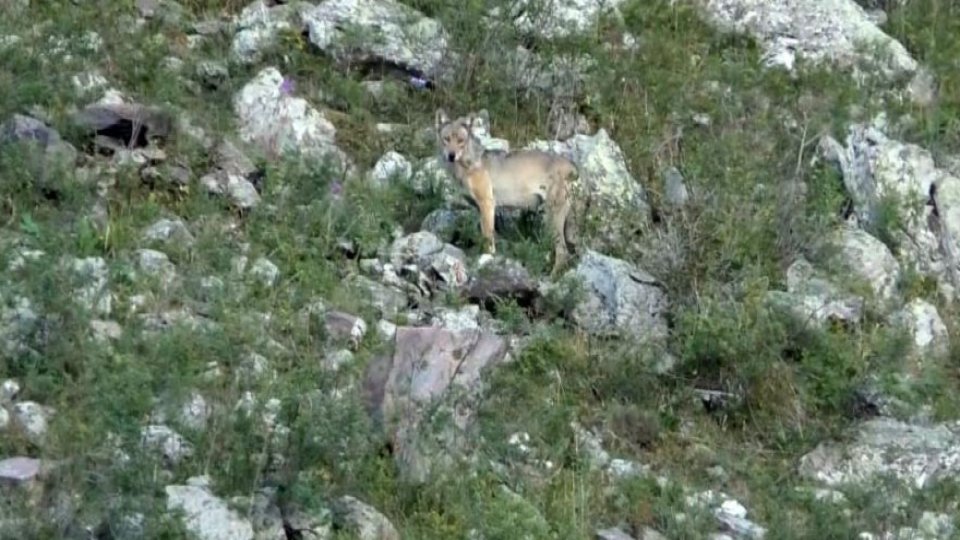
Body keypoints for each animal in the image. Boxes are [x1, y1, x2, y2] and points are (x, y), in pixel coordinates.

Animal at [434, 108, 580, 278]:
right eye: (446, 139)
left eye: (460, 140)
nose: (451, 155)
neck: (466, 166)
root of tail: (572, 166)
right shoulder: (481, 209)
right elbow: (487, 235)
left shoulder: (487, 204)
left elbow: (488, 238)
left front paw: (487, 259)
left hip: (551, 220)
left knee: (562, 252)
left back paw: (552, 278)